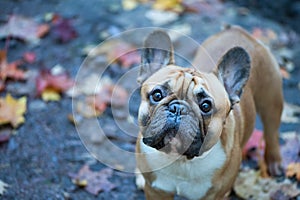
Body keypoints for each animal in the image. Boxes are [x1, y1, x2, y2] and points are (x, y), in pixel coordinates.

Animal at [135, 25, 282, 199]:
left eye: (205, 106)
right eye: (157, 95)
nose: (178, 108)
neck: (181, 160)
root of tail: (237, 30)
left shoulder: (214, 195)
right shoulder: (156, 191)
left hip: (271, 101)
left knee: (271, 132)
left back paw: (274, 163)